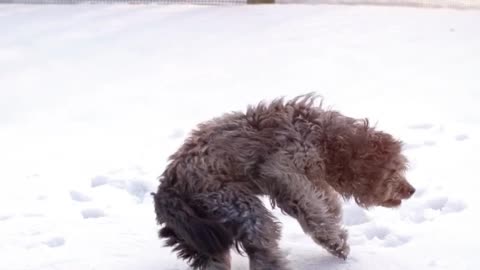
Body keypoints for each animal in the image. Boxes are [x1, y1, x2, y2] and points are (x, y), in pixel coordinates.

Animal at [152, 93, 414, 270]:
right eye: (394, 170)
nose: (411, 190)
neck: (323, 135)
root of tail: (168, 187)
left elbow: (325, 201)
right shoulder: (283, 168)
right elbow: (312, 209)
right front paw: (335, 241)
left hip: (198, 234)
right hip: (228, 201)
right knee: (261, 240)